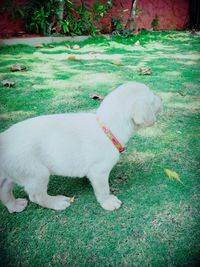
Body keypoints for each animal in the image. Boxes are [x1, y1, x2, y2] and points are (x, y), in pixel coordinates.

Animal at [0, 82, 162, 214]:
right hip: (36, 173)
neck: (107, 128)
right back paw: (56, 202)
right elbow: (103, 189)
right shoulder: (99, 171)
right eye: (153, 99)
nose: (162, 99)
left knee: (4, 192)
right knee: (37, 196)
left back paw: (14, 205)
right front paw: (108, 202)